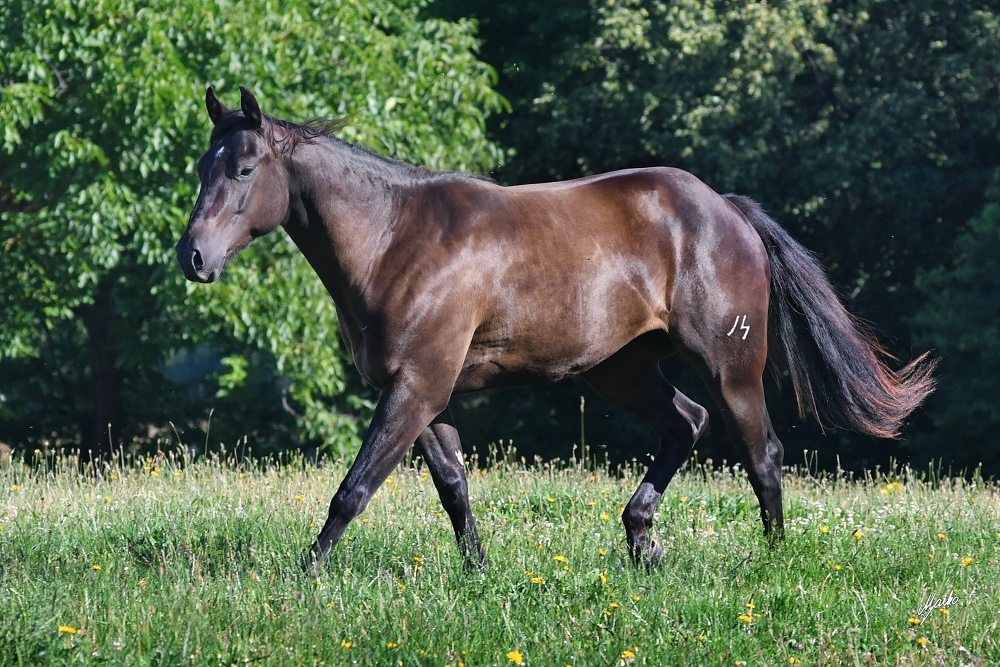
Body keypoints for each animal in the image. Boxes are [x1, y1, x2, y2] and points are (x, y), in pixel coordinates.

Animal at [176, 86, 932, 572]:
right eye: (201, 165)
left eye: (243, 168)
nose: (194, 257)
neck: (395, 239)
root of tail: (728, 210)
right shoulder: (422, 394)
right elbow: (453, 487)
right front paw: (479, 573)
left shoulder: (416, 387)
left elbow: (353, 489)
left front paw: (302, 577)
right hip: (620, 370)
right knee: (685, 423)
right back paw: (641, 541)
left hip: (729, 367)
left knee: (762, 452)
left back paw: (771, 561)